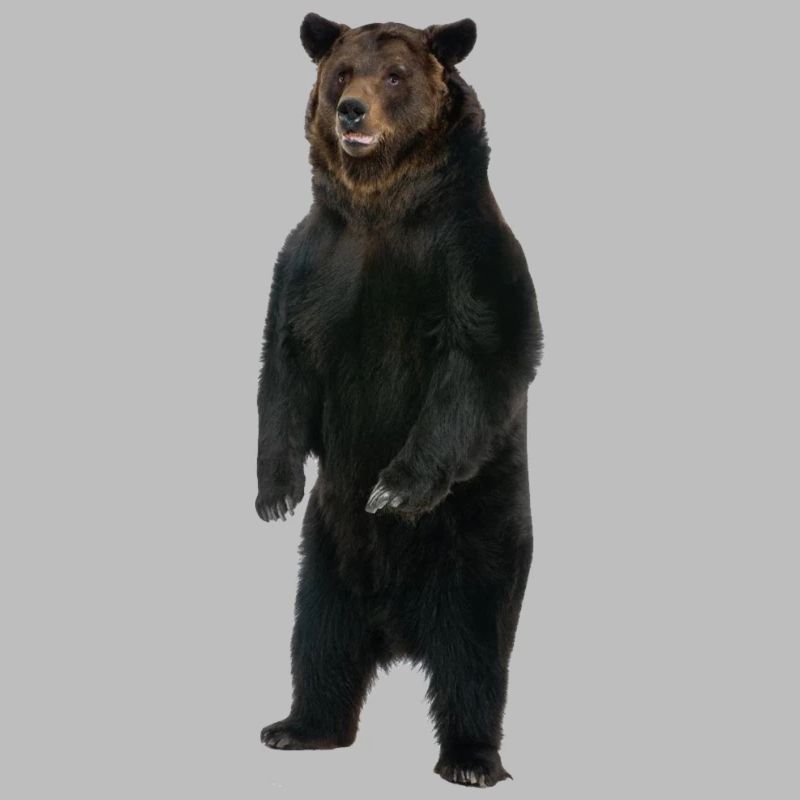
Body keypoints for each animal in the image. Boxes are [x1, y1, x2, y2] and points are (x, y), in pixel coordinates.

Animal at [255, 13, 544, 788]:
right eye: (341, 72)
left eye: (396, 75)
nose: (352, 111)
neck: (381, 206)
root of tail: (399, 629)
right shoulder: (314, 262)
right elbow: (284, 365)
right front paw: (274, 491)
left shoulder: (466, 257)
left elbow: (478, 361)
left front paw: (393, 489)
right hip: (326, 557)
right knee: (319, 639)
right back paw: (298, 726)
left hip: (480, 537)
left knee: (475, 654)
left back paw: (471, 759)